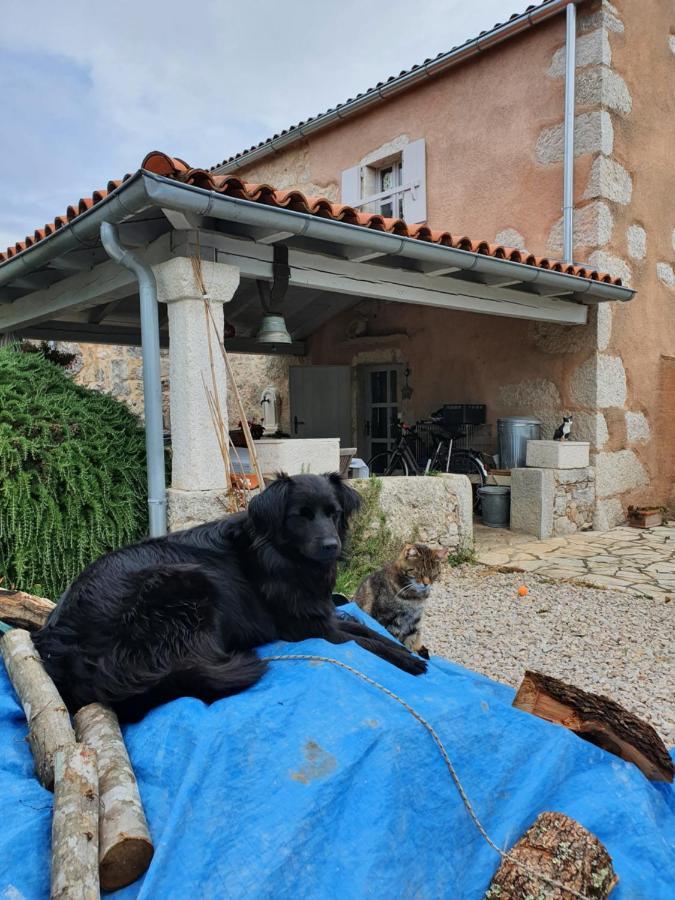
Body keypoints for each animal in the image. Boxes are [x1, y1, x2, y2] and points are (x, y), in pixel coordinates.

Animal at [34, 474, 426, 720]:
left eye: (334, 514)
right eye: (301, 517)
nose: (332, 546)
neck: (283, 559)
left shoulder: (324, 615)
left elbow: (368, 630)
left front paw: (405, 651)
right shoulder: (310, 628)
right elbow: (363, 642)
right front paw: (408, 661)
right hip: (189, 584)